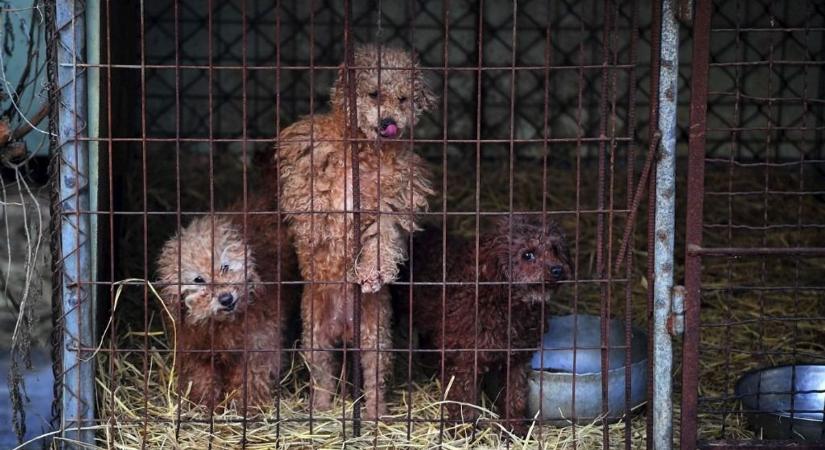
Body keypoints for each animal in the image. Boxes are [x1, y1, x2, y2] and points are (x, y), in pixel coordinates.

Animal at [154, 196, 300, 408]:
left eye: (225, 267)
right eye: (199, 279)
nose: (226, 298)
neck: (224, 324)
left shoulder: (259, 346)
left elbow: (251, 378)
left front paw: (245, 406)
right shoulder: (195, 351)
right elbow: (202, 380)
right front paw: (205, 405)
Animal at [276, 44, 438, 416]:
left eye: (404, 99)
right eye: (374, 94)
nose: (389, 123)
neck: (364, 150)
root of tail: (344, 328)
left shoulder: (392, 204)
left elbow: (382, 240)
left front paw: (371, 274)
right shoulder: (308, 164)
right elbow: (314, 204)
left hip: (374, 337)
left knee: (373, 379)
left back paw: (375, 416)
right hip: (315, 335)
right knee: (322, 376)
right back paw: (321, 410)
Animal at [398, 216, 568, 434]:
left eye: (555, 249)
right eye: (527, 255)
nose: (558, 270)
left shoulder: (517, 359)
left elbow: (515, 397)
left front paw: (515, 430)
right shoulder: (464, 361)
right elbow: (463, 401)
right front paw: (463, 432)